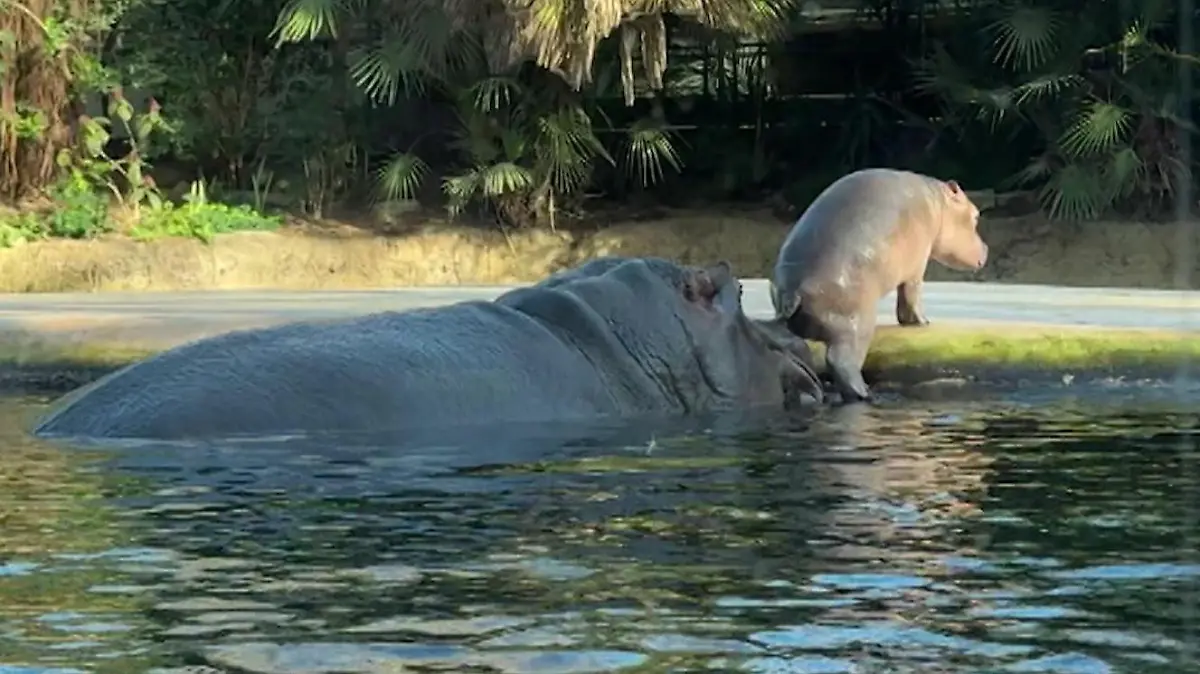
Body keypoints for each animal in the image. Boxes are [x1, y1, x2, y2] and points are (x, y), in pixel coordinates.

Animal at [770, 168, 988, 403]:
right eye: (975, 215)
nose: (986, 248)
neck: (938, 204)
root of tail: (793, 290)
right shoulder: (917, 263)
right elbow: (912, 293)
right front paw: (923, 322)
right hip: (856, 325)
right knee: (841, 361)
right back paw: (865, 394)